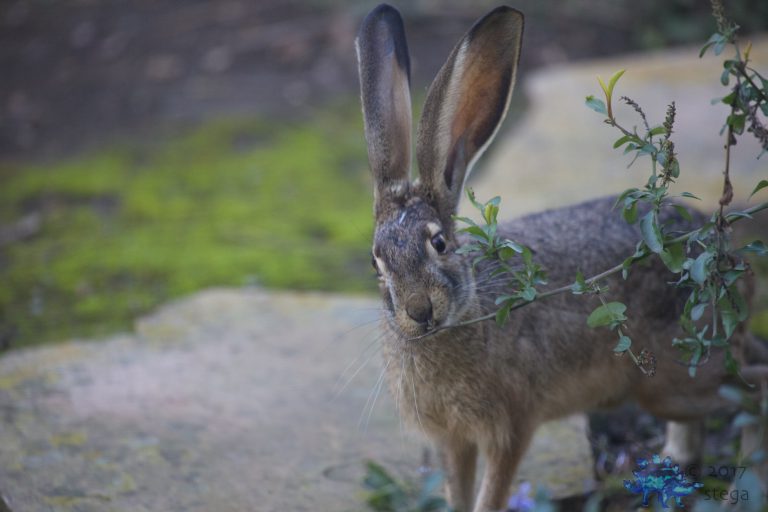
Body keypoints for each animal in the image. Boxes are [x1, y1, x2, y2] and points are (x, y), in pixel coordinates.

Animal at [355, 4, 768, 511]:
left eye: (439, 244)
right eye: (376, 262)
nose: (419, 311)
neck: (463, 318)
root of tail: (728, 261)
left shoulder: (510, 428)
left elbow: (491, 493)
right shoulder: (453, 440)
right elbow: (458, 492)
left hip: (681, 377)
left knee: (757, 388)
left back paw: (740, 491)